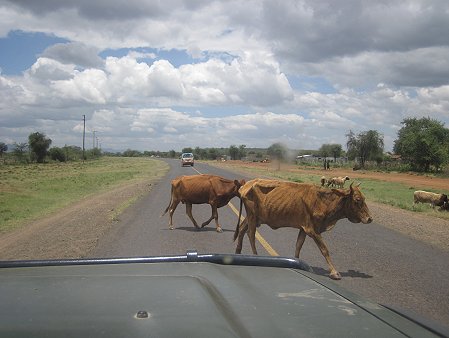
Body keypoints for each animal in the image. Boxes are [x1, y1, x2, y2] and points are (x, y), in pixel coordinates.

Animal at [233, 180, 372, 280]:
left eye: (365, 198)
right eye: (357, 200)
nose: (370, 218)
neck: (323, 201)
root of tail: (246, 185)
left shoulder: (303, 229)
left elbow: (298, 245)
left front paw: (297, 262)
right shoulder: (312, 230)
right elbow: (324, 249)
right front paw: (334, 272)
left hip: (253, 217)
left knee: (242, 229)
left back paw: (238, 252)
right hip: (252, 215)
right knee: (251, 234)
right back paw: (255, 256)